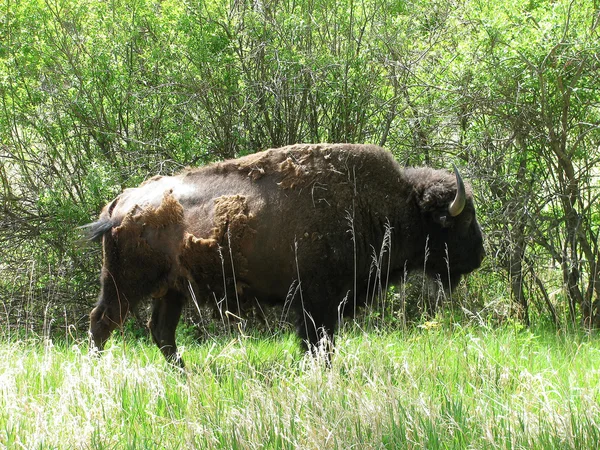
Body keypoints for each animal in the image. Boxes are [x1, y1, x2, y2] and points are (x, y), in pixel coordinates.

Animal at [84, 144, 486, 366]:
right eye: (464, 220)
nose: (480, 255)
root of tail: (121, 202)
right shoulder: (318, 302)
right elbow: (319, 344)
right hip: (125, 285)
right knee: (102, 323)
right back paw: (97, 371)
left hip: (172, 291)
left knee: (161, 332)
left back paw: (185, 374)